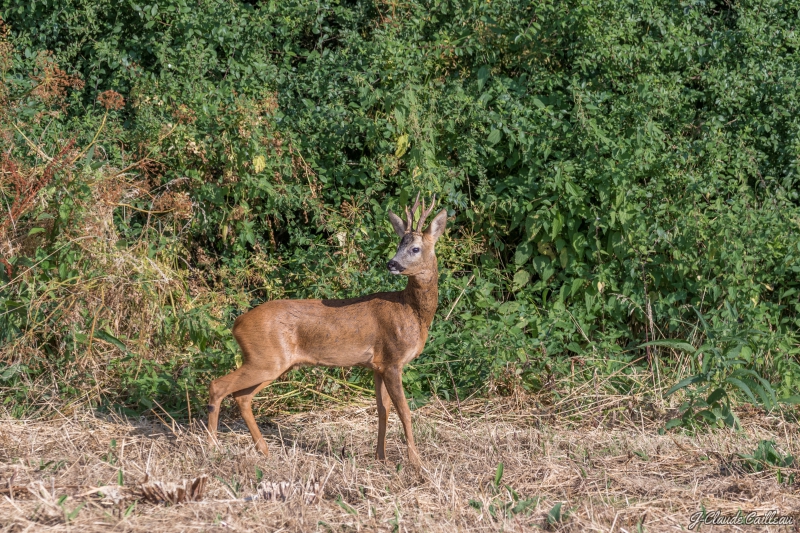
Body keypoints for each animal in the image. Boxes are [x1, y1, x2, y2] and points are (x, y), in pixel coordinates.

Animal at [206, 192, 446, 466]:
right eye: (398, 245)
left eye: (415, 248)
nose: (391, 263)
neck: (411, 311)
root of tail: (237, 324)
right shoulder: (393, 360)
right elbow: (404, 411)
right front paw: (416, 462)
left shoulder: (378, 365)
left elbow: (382, 410)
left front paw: (381, 457)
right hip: (266, 359)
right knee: (218, 386)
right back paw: (212, 448)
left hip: (271, 363)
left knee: (242, 397)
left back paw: (263, 450)